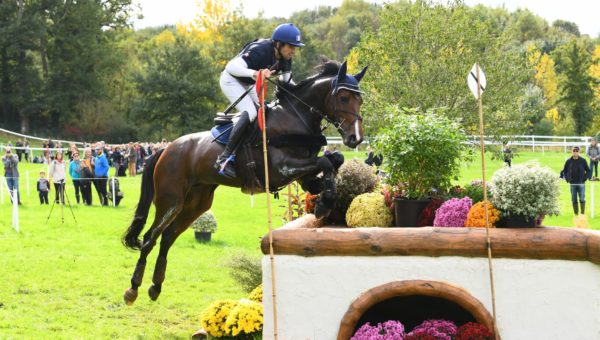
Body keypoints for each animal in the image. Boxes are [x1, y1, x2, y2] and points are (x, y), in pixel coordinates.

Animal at [120, 59, 366, 304]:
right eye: (344, 97)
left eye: (360, 100)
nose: (355, 138)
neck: (295, 118)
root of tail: (165, 149)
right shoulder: (282, 170)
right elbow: (325, 162)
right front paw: (323, 205)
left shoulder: (303, 175)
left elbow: (334, 161)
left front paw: (325, 201)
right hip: (170, 201)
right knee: (150, 237)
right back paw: (133, 288)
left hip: (196, 203)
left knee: (168, 237)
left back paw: (156, 285)